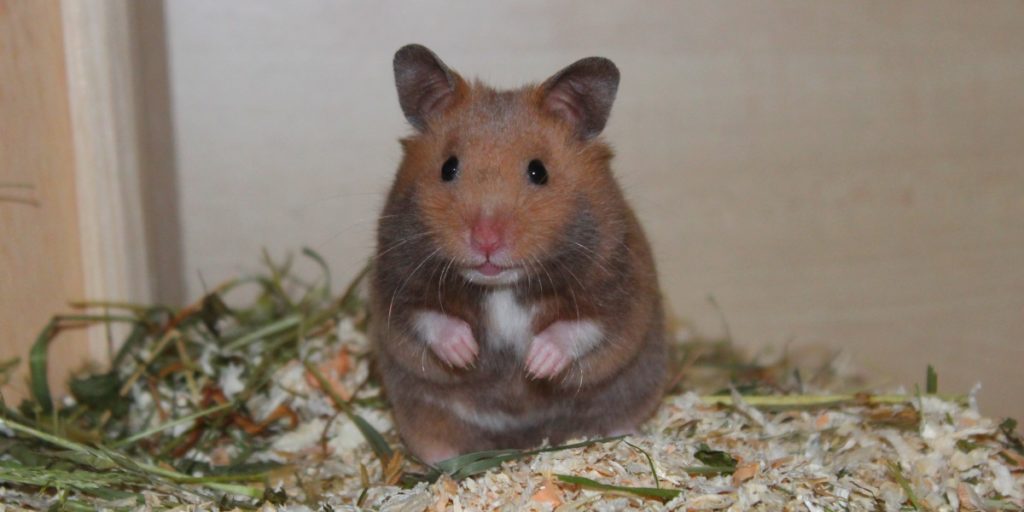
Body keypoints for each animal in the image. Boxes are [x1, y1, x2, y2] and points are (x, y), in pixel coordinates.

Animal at [371, 44, 667, 464]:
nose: (486, 240)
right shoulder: (396, 287)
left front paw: (535, 364)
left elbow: (581, 326)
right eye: (448, 167)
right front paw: (466, 354)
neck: (501, 287)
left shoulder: (617, 291)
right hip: (425, 416)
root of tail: (523, 441)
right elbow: (430, 318)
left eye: (538, 171)